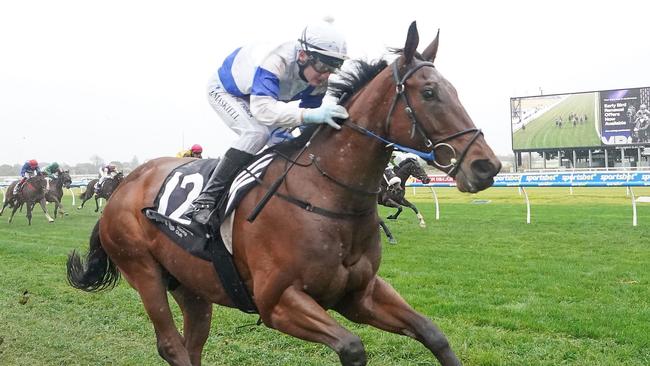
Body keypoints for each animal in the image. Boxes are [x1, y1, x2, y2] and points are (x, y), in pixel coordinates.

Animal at [66, 23, 498, 366]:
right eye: (429, 93)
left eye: (453, 90)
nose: (486, 166)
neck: (325, 195)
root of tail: (124, 186)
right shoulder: (277, 302)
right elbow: (353, 348)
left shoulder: (361, 294)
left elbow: (434, 335)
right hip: (143, 272)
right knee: (172, 345)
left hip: (193, 287)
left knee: (192, 344)